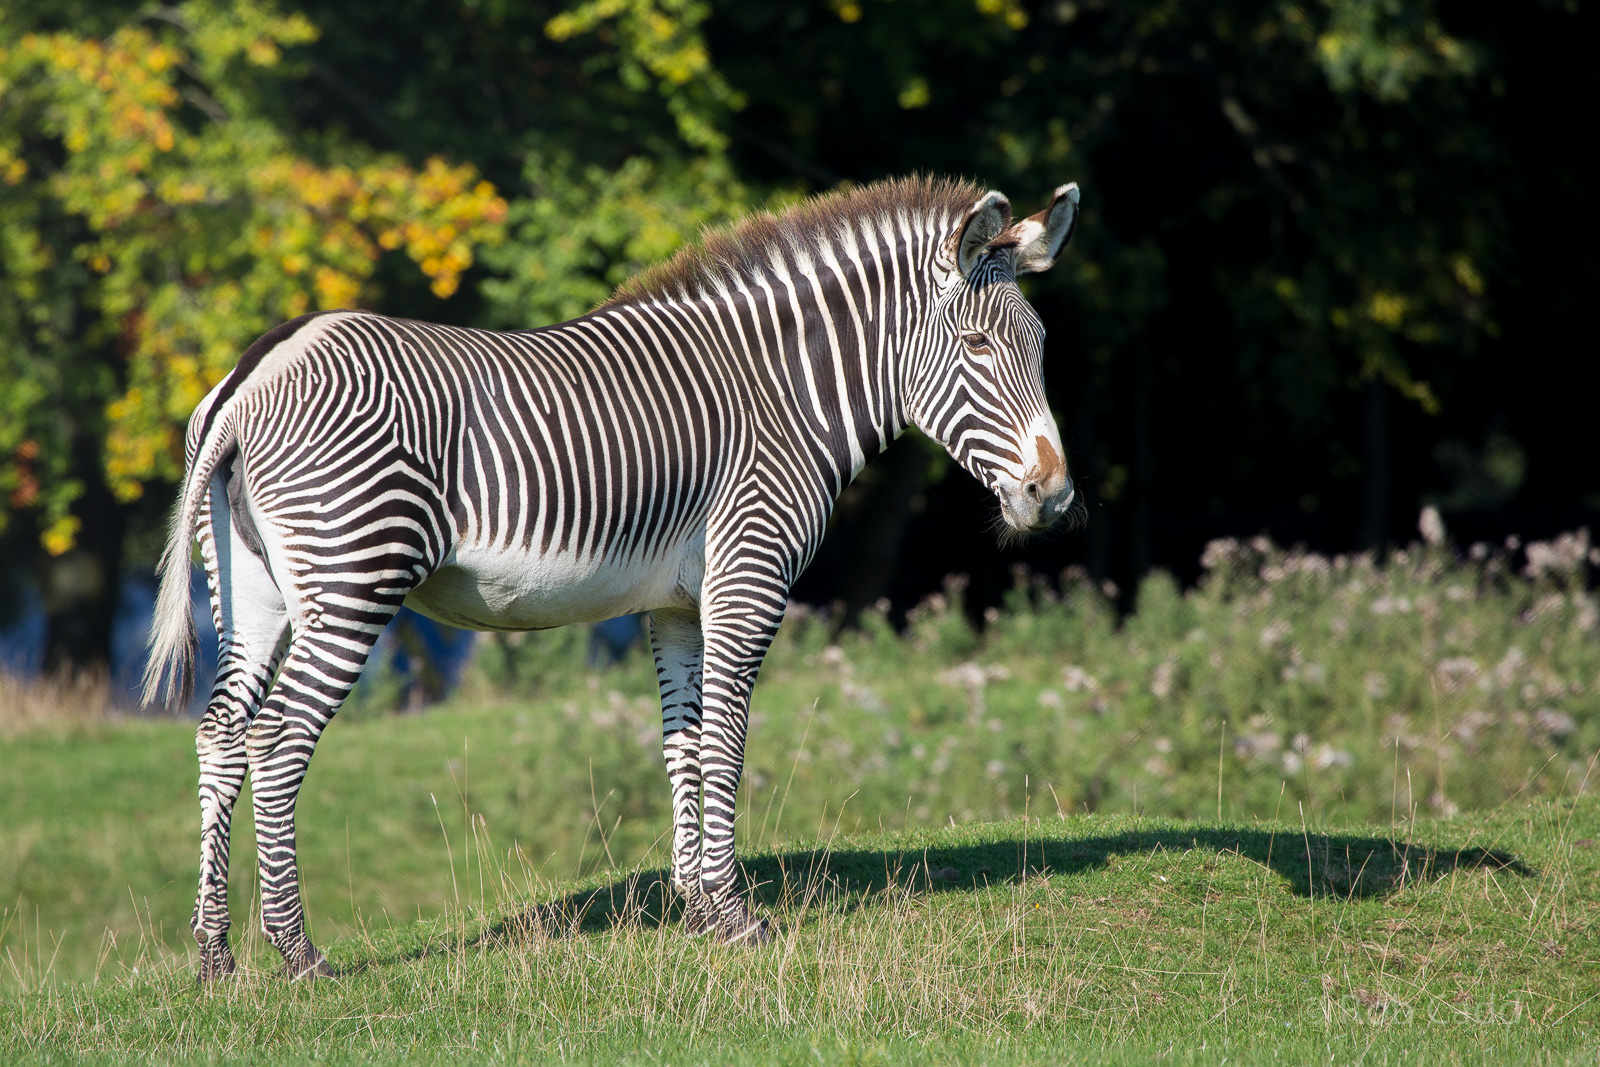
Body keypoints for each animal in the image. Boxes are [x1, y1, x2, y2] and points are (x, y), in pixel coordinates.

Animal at [144, 175, 1081, 980]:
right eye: (977, 346)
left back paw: (214, 955)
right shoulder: (749, 575)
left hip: (253, 590)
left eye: (1040, 348)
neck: (783, 392)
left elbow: (683, 743)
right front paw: (737, 916)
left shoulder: (677, 605)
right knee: (277, 739)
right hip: (353, 576)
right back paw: (297, 951)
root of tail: (253, 369)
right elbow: (727, 742)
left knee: (222, 733)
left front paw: (698, 908)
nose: (1057, 496)